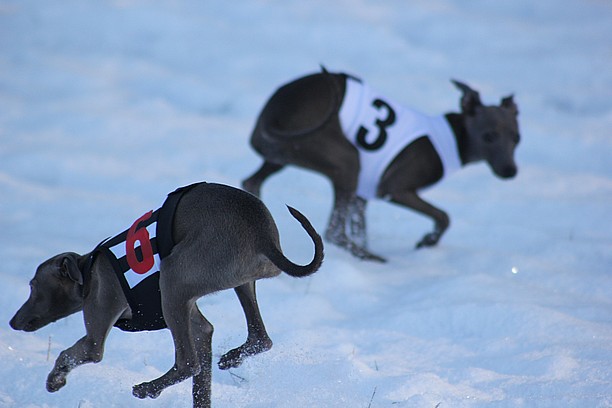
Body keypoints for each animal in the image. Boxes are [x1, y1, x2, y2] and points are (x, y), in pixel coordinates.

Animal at [8, 182, 326, 408]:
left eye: (33, 286)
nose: (12, 321)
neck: (88, 271)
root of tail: (263, 236)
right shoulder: (198, 326)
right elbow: (204, 352)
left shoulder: (96, 328)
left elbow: (74, 353)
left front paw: (55, 379)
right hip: (238, 283)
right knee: (259, 337)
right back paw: (232, 358)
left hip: (174, 278)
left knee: (188, 363)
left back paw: (147, 388)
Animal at [241, 67, 520, 262]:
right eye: (489, 137)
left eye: (517, 138)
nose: (510, 171)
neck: (453, 135)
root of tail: (272, 114)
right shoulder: (394, 189)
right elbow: (444, 216)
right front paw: (427, 241)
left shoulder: (362, 197)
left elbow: (360, 227)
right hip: (348, 160)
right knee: (334, 232)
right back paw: (374, 259)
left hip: (279, 158)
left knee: (251, 181)